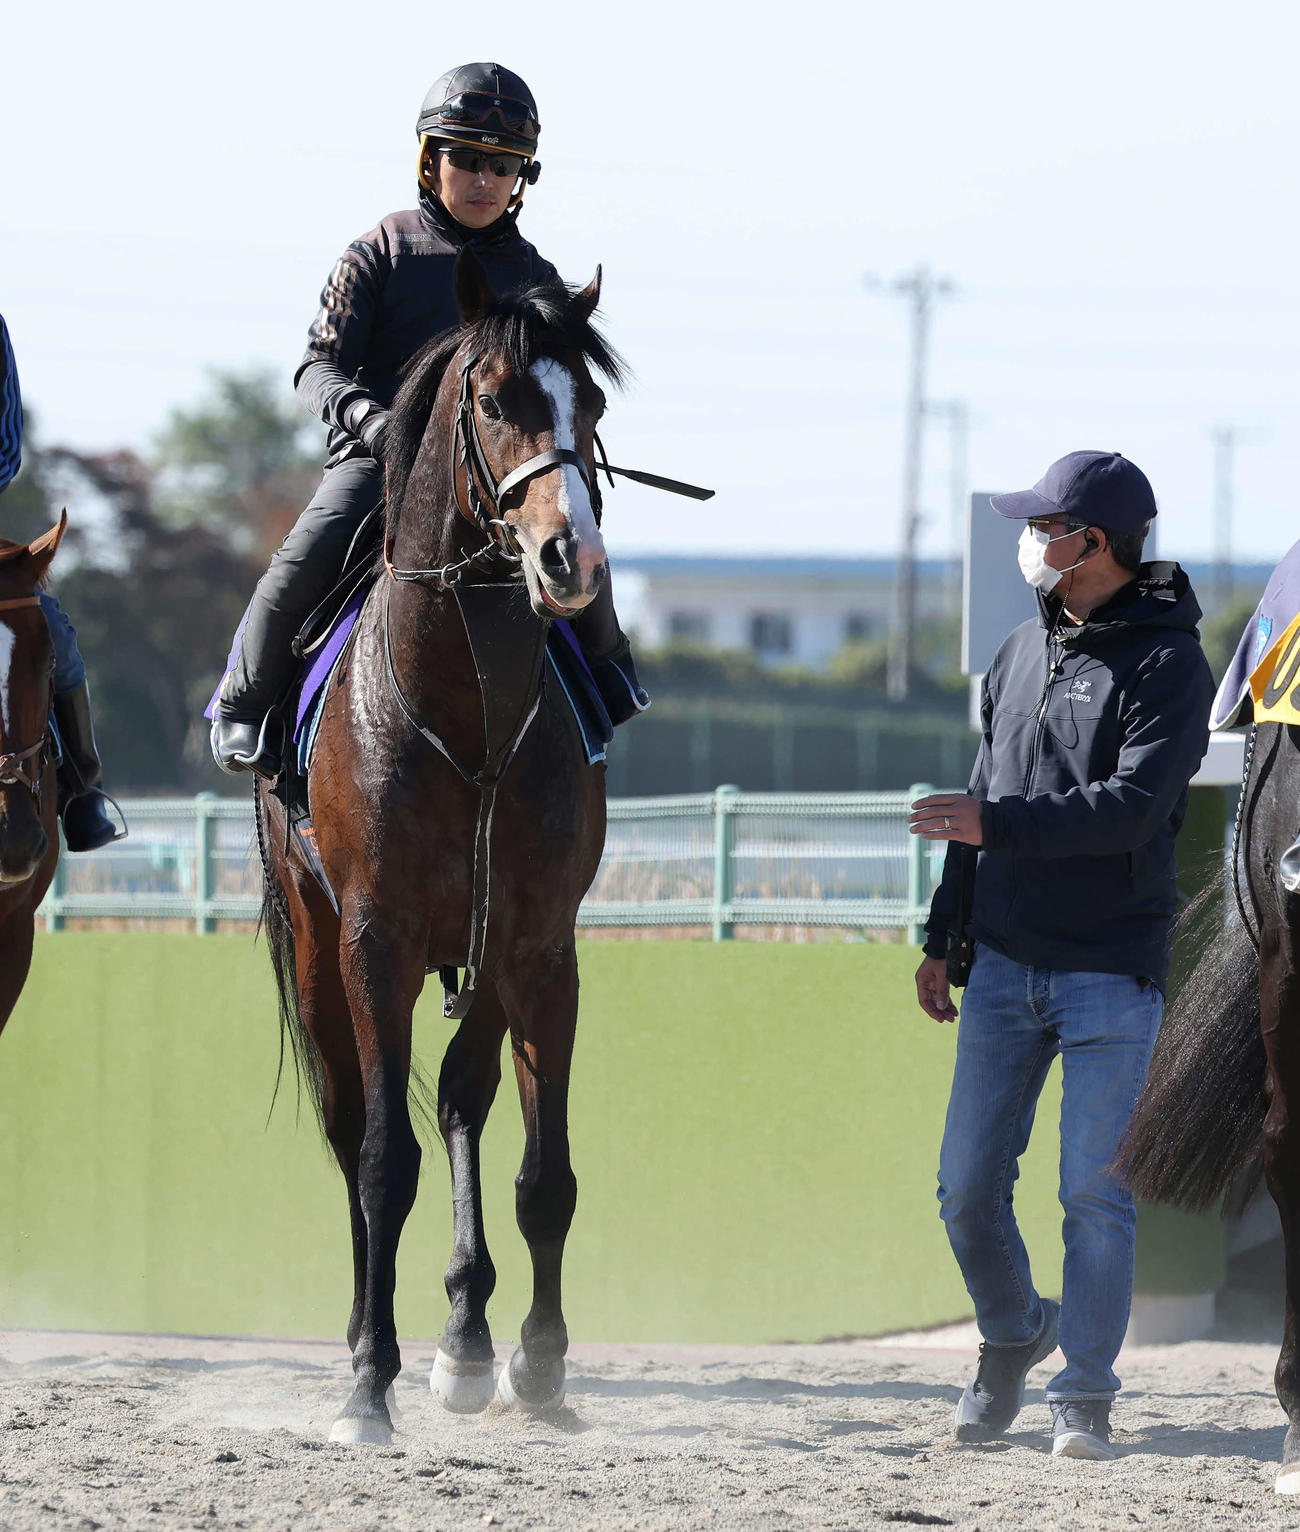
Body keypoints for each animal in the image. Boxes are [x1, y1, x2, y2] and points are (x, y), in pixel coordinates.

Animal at [257, 251, 623, 1445]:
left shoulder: (538, 945)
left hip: (485, 960)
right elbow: (383, 1159)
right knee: (351, 1126)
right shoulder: (375, 940)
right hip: (318, 948)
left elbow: (543, 1174)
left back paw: (466, 1338)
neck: (466, 716)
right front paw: (365, 1386)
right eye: (497, 400)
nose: (568, 556)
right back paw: (367, 1344)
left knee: (463, 1098)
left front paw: (538, 1365)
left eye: (592, 405)